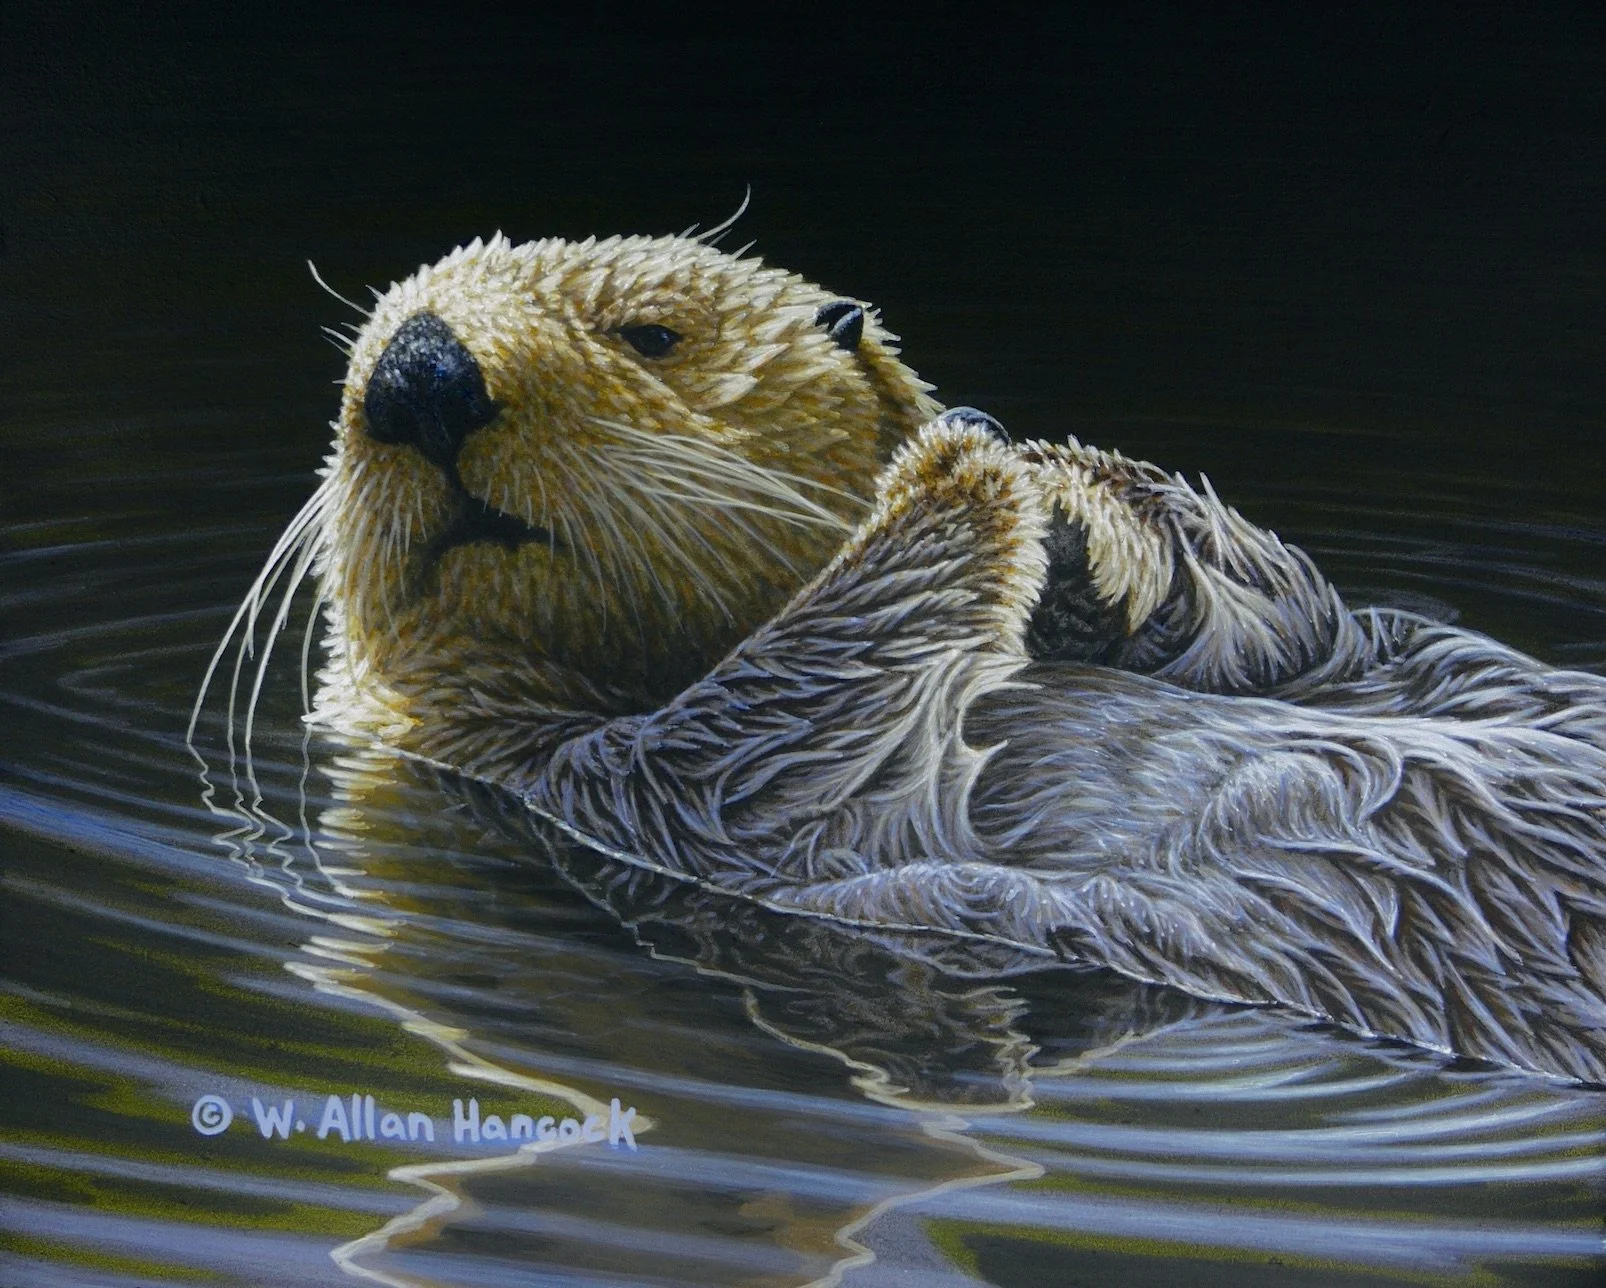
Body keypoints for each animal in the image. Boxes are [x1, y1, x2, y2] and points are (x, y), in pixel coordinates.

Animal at [197, 231, 1606, 1084]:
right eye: (355, 373)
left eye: (650, 333)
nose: (416, 372)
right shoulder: (668, 788)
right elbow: (796, 699)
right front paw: (954, 468)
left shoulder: (1337, 652)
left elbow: (1306, 620)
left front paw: (1074, 512)